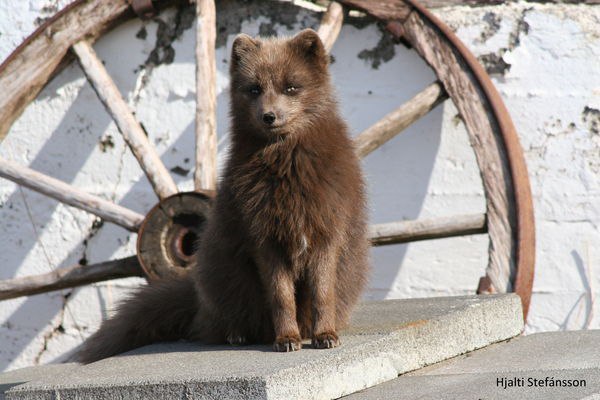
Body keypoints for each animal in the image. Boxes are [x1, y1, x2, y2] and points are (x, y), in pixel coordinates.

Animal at [77, 28, 368, 362]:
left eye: (291, 87)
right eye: (254, 89)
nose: (269, 116)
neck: (287, 170)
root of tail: (197, 300)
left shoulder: (326, 234)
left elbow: (322, 293)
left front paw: (324, 335)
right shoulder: (263, 239)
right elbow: (281, 296)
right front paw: (286, 339)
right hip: (225, 279)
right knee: (211, 327)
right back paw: (237, 335)